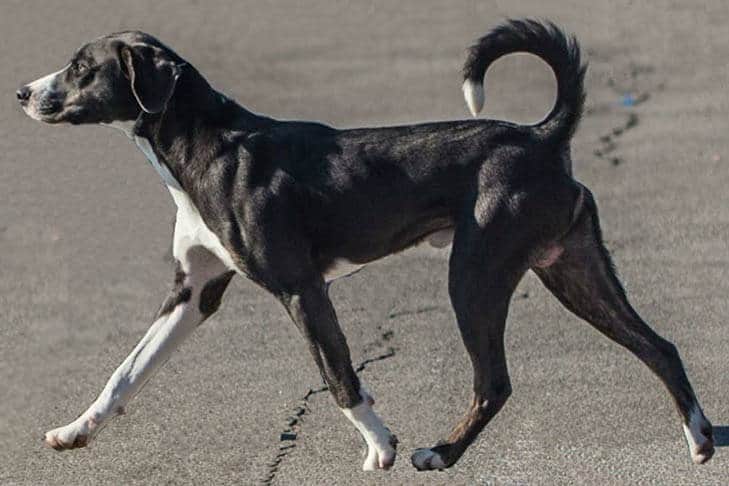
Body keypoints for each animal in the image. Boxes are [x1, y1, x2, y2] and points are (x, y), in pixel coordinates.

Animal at [18, 19, 716, 470]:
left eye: (82, 68)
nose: (23, 91)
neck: (206, 147)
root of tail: (542, 135)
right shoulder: (193, 294)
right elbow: (124, 373)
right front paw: (74, 431)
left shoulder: (301, 290)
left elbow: (339, 378)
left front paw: (379, 445)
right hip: (573, 269)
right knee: (658, 347)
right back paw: (701, 438)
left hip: (475, 276)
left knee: (495, 382)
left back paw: (440, 453)